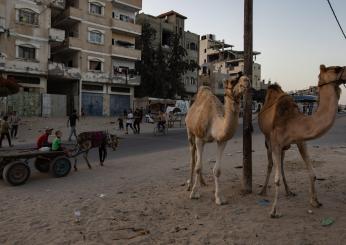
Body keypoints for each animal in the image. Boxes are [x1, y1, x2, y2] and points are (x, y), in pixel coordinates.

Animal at [185, 74, 250, 205]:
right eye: (233, 80)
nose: (246, 80)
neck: (214, 122)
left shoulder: (222, 141)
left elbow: (217, 170)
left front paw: (219, 197)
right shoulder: (199, 138)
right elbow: (198, 167)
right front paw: (194, 193)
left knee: (197, 157)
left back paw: (203, 182)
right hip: (190, 132)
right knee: (193, 156)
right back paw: (190, 185)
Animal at [258, 65, 344, 218]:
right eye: (336, 69)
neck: (291, 121)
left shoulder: (300, 141)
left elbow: (312, 173)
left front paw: (315, 201)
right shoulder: (275, 142)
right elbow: (276, 179)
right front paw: (273, 211)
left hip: (283, 146)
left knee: (281, 164)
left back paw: (289, 191)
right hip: (268, 139)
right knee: (270, 163)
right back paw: (263, 190)